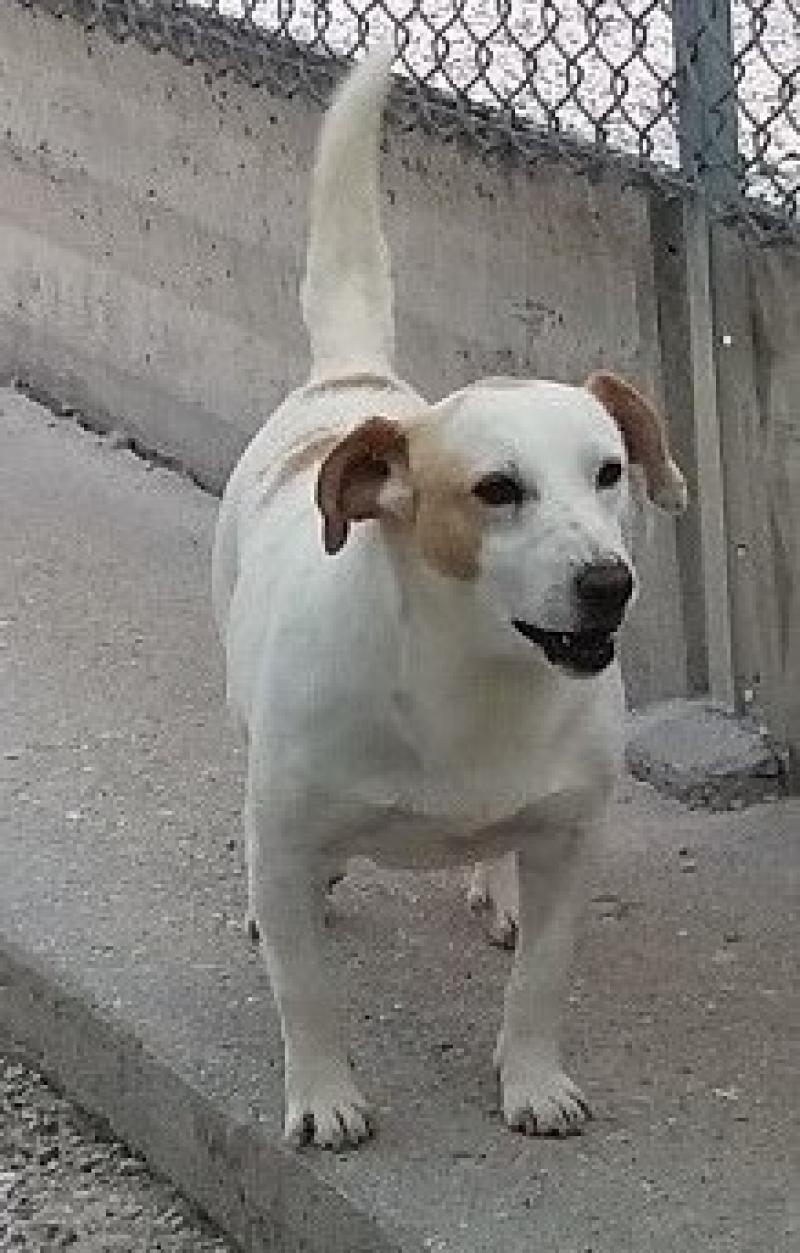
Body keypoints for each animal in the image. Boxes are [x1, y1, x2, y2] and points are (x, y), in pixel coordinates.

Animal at [211, 49, 687, 1150]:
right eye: (496, 489)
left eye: (609, 471)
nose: (610, 583)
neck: (472, 681)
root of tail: (354, 382)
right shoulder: (287, 835)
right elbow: (303, 987)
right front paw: (324, 1094)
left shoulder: (570, 842)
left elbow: (541, 979)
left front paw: (531, 1079)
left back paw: (492, 879)